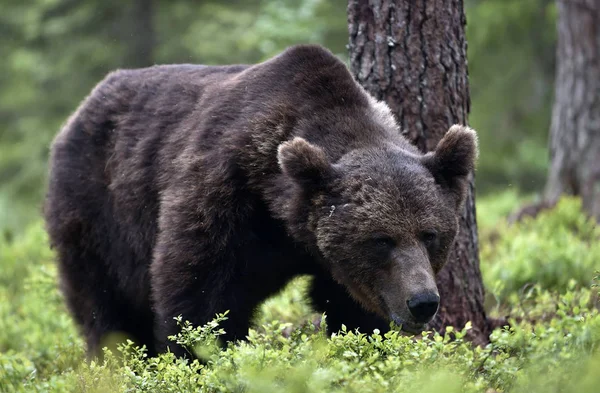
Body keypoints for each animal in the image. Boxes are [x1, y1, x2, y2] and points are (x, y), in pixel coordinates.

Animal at [44, 43, 478, 358]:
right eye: (380, 239)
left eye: (430, 234)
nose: (422, 302)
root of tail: (76, 114)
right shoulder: (222, 197)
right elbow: (199, 298)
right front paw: (199, 357)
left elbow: (351, 309)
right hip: (95, 212)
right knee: (106, 304)